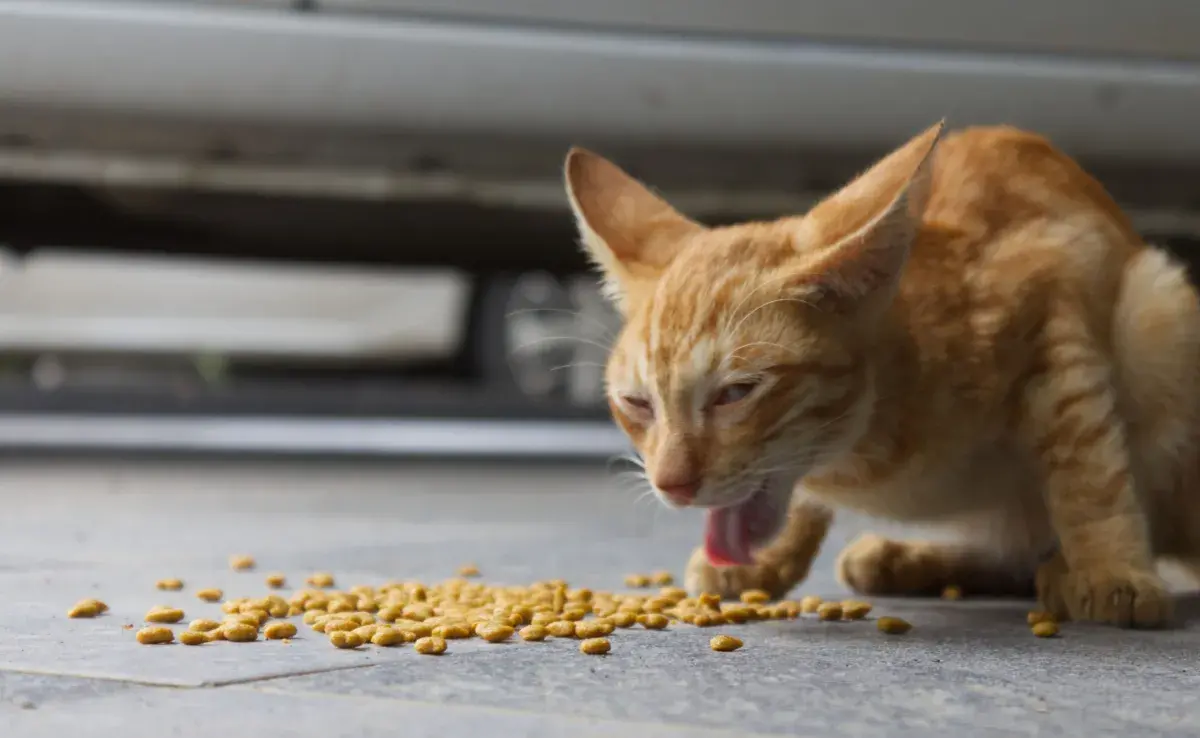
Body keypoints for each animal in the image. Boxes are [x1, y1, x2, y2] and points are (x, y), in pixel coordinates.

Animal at [566, 123, 1200, 628]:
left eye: (736, 393)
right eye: (637, 404)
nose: (671, 485)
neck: (864, 454)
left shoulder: (1054, 301)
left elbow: (1087, 467)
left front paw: (1112, 568)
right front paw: (765, 559)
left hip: (1159, 309)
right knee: (1017, 553)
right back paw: (906, 558)